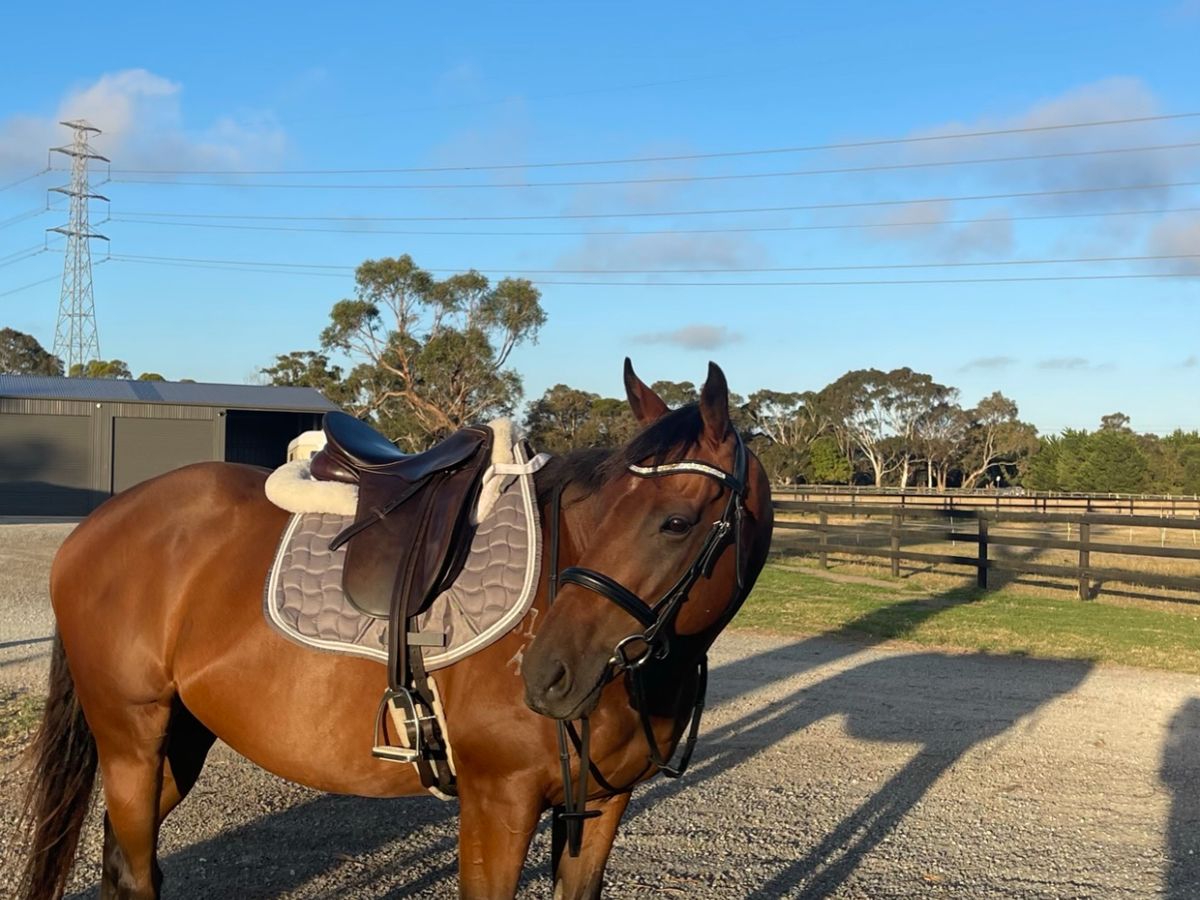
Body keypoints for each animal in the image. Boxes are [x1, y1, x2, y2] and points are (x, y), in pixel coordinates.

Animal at [17, 359, 774, 900]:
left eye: (674, 521)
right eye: (598, 505)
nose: (547, 673)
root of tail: (98, 523)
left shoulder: (603, 805)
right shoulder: (497, 804)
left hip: (176, 744)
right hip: (130, 741)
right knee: (135, 871)